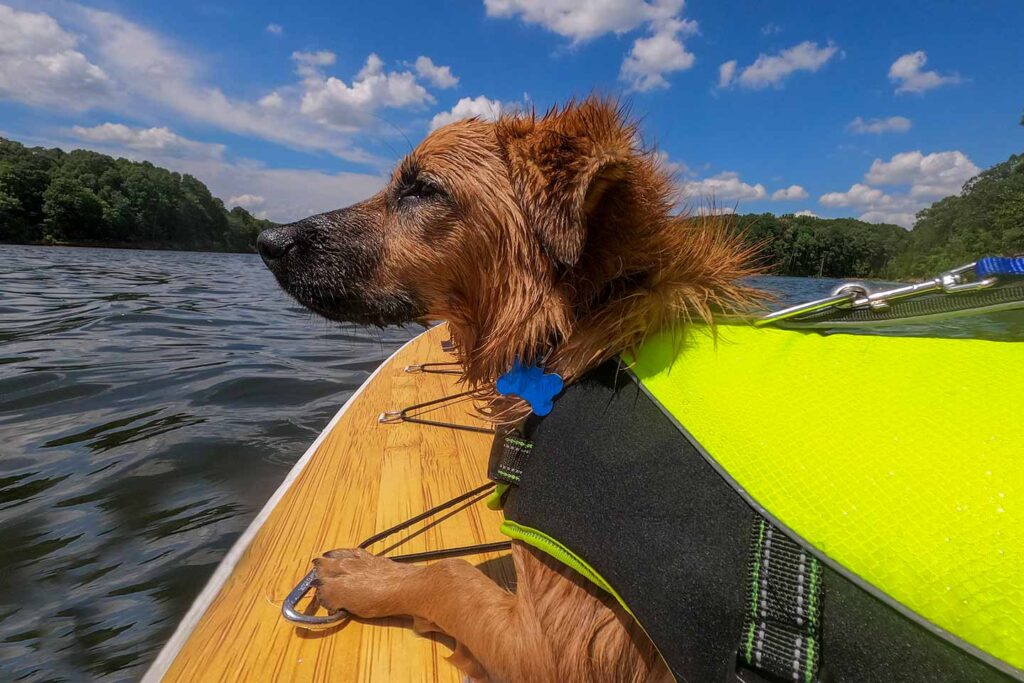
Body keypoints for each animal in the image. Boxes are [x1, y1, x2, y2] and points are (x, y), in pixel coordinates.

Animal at [258, 97, 761, 683]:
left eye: (421, 189)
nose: (267, 241)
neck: (586, 322)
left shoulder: (560, 649)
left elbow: (449, 575)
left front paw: (364, 576)